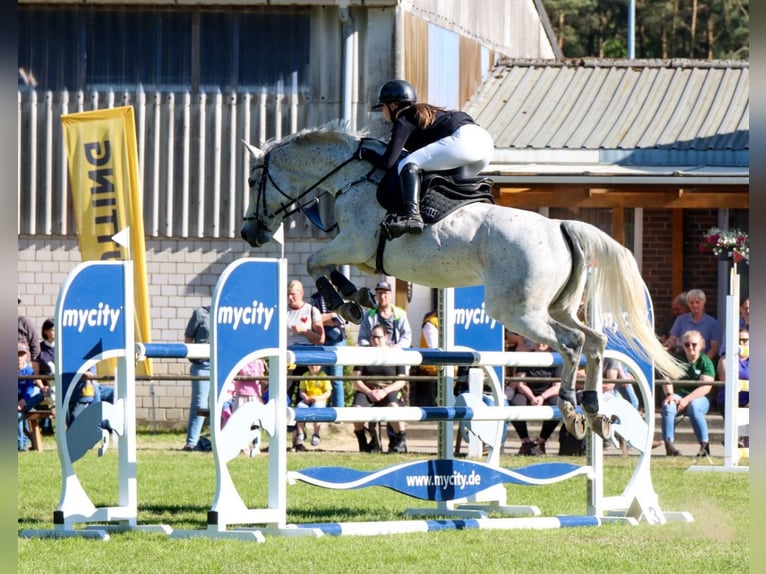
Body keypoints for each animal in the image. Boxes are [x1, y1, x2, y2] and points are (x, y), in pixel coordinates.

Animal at [239, 121, 684, 440]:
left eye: (251, 181)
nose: (249, 234)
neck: (353, 177)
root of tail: (560, 226)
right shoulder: (358, 252)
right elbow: (324, 266)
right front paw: (353, 297)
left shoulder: (354, 243)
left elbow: (318, 261)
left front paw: (344, 300)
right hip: (556, 307)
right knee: (595, 340)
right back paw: (592, 410)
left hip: (517, 312)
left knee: (572, 344)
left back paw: (570, 407)